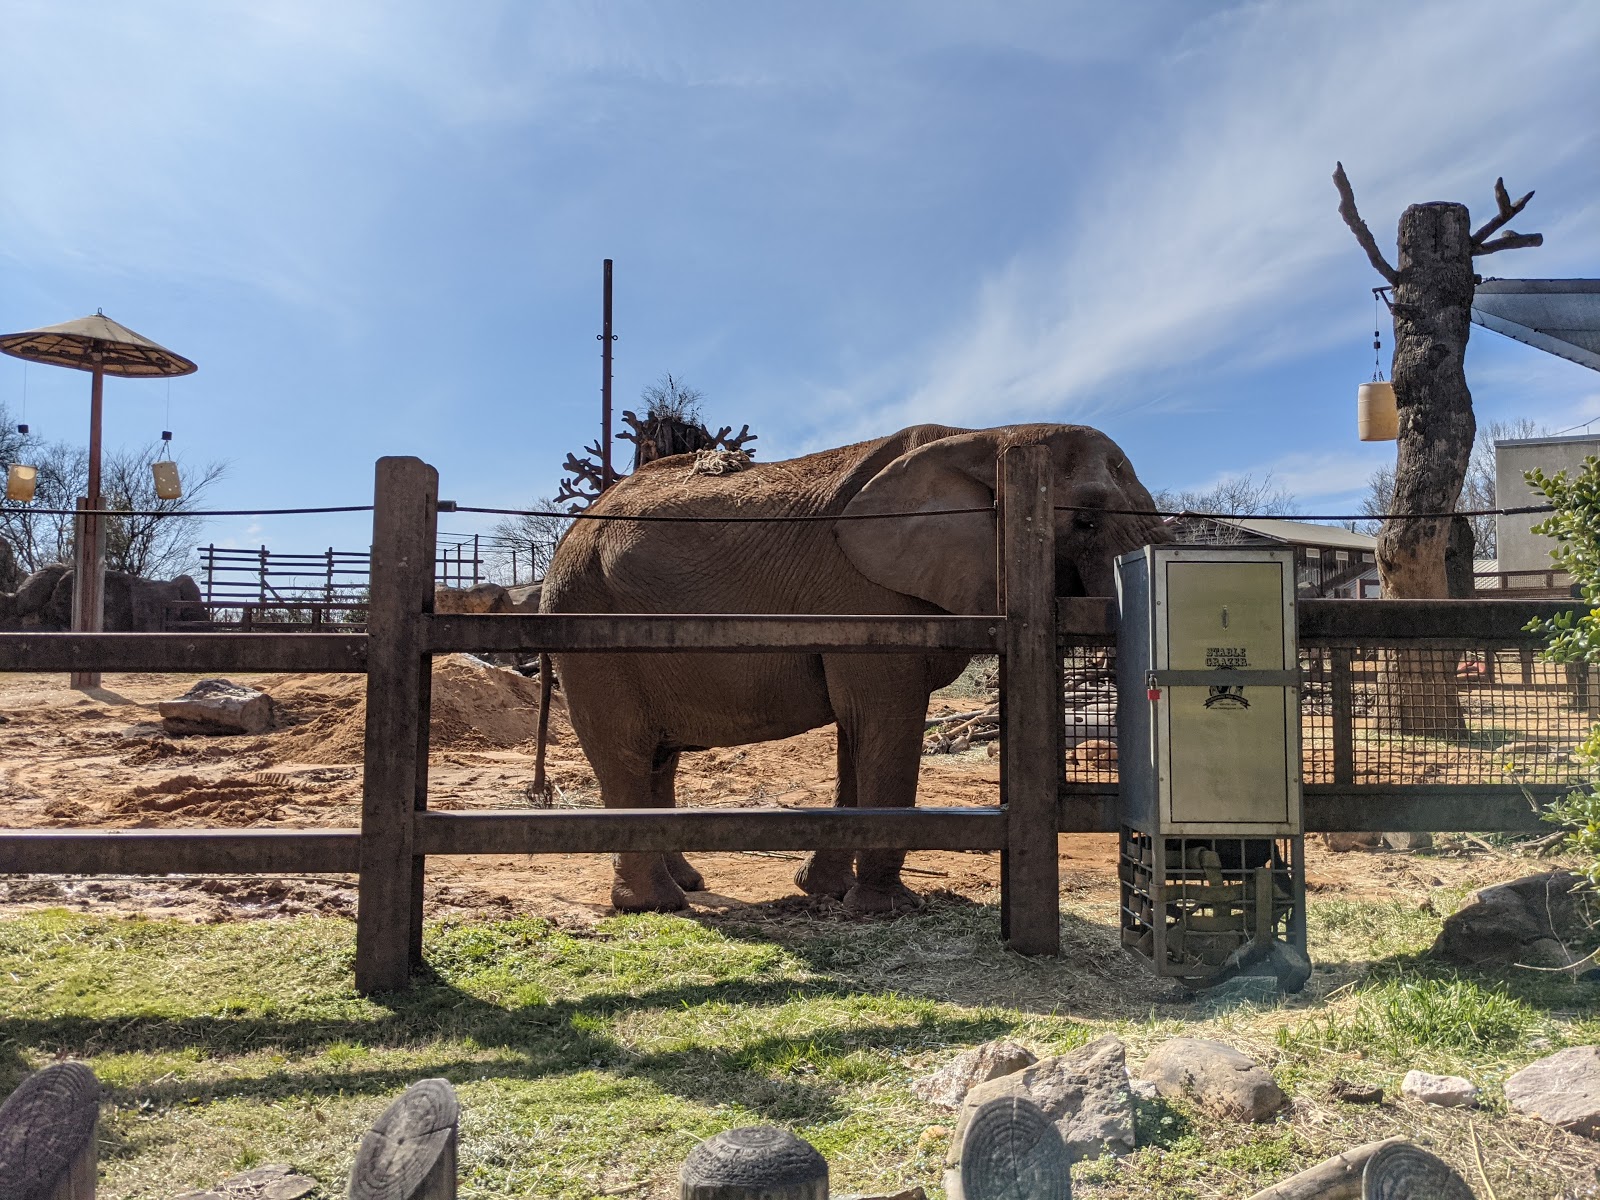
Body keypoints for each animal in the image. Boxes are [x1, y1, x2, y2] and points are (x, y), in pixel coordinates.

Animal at [540, 422, 1164, 908]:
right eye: (1085, 520)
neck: (990, 435)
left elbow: (857, 732)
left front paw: (825, 893)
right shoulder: (868, 597)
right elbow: (886, 720)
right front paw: (887, 908)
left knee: (659, 757)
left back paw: (688, 883)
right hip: (591, 627)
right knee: (625, 750)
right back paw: (656, 903)